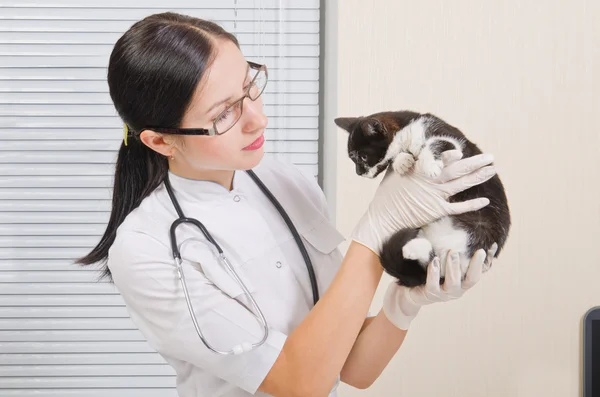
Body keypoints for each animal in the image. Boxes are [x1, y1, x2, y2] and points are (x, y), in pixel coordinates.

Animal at [332, 110, 510, 286]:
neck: (407, 131)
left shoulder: (455, 144)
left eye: (363, 157)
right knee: (433, 261)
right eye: (353, 159)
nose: (358, 172)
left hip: (480, 228)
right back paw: (412, 249)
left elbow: (436, 144)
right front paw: (401, 161)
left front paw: (430, 166)